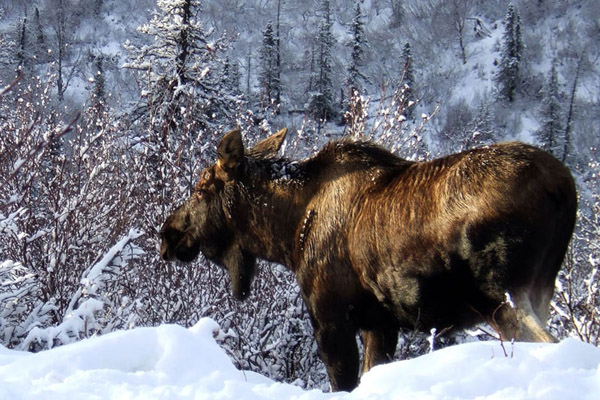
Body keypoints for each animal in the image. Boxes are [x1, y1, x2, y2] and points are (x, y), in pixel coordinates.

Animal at [159, 130, 576, 392]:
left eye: (201, 188)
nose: (167, 234)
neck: (288, 235)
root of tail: (564, 188)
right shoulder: (380, 324)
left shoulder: (330, 317)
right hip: (540, 290)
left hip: (504, 296)